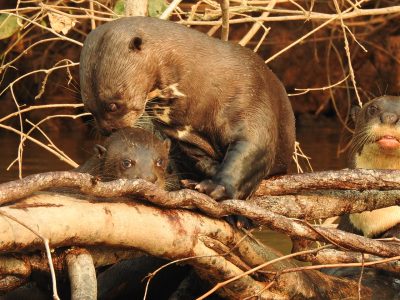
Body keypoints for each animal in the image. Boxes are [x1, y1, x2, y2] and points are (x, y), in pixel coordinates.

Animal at [79, 15, 296, 199]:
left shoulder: (250, 92)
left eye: (113, 105)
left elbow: (254, 146)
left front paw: (216, 186)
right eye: (89, 107)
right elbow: (197, 159)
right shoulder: (183, 139)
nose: (108, 130)